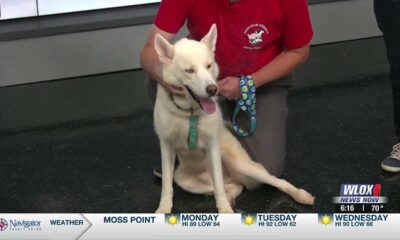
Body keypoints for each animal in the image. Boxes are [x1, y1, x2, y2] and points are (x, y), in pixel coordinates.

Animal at [152, 23, 312, 213]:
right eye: (189, 70)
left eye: (209, 65)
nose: (213, 89)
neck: (189, 113)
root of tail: (232, 175)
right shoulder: (166, 146)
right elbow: (166, 186)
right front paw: (164, 208)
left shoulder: (212, 145)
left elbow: (219, 186)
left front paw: (225, 209)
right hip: (184, 179)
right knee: (233, 186)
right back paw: (230, 198)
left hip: (242, 165)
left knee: (275, 181)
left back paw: (300, 194)